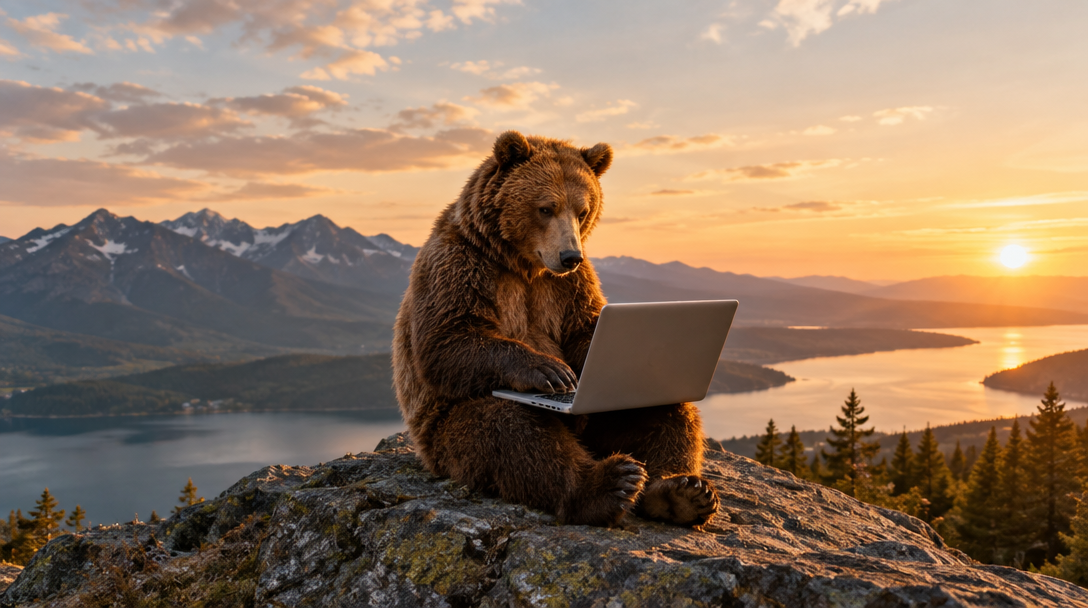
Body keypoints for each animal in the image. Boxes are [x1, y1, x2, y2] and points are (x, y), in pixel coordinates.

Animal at [392, 131, 719, 527]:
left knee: (670, 413)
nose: (569, 256)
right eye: (545, 207)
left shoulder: (569, 287)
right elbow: (447, 338)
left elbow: (585, 330)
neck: (522, 264)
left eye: (583, 210)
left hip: (621, 408)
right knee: (510, 429)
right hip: (445, 432)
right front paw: (550, 370)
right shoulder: (461, 265)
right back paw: (609, 485)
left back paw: (682, 492)